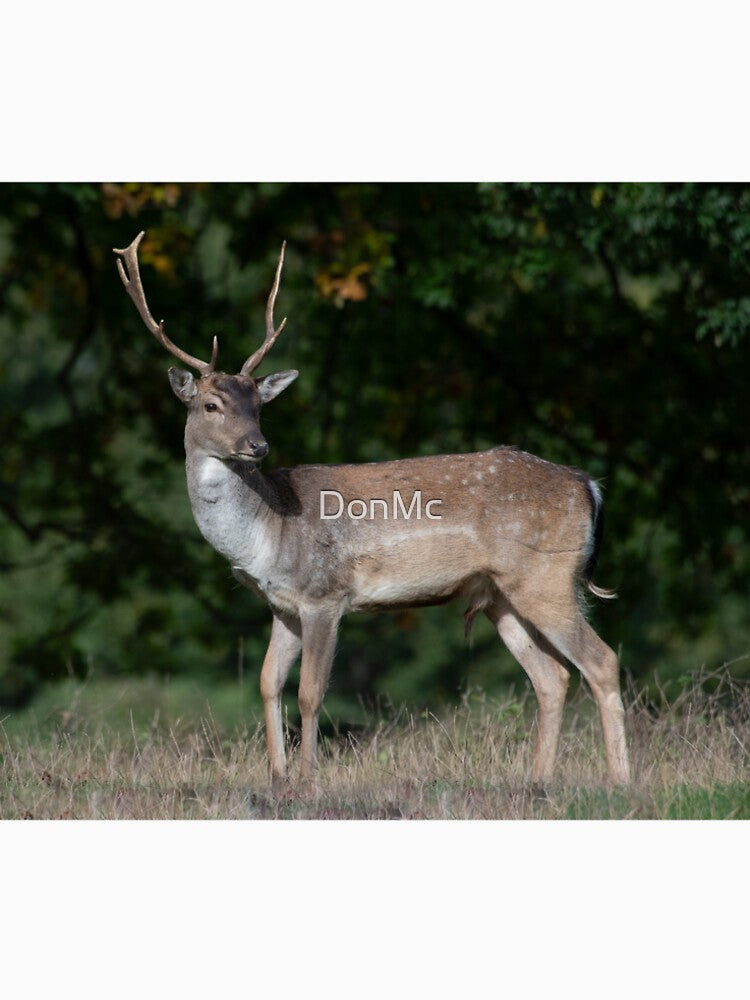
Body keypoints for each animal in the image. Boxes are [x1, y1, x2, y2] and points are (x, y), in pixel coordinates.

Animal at [113, 231, 630, 791]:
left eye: (259, 405)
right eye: (211, 405)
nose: (258, 445)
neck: (268, 533)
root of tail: (588, 485)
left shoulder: (325, 593)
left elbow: (310, 692)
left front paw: (307, 781)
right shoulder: (281, 604)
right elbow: (268, 682)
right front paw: (276, 777)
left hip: (546, 577)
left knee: (602, 661)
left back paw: (620, 781)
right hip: (500, 595)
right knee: (553, 677)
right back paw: (537, 781)